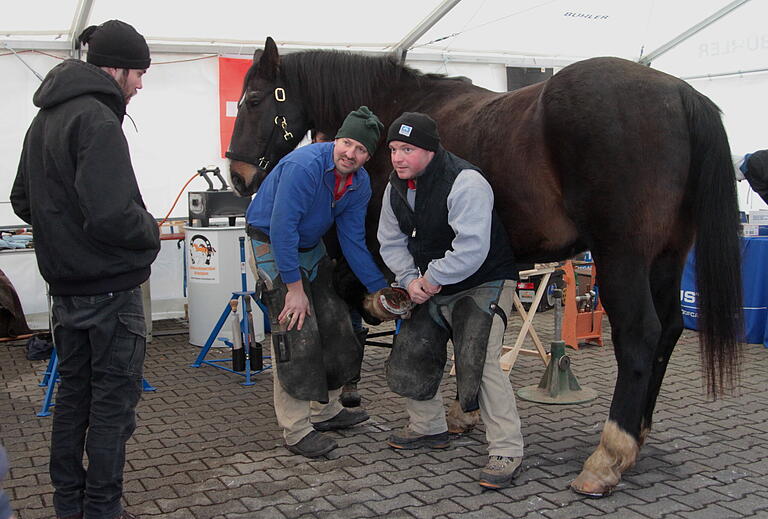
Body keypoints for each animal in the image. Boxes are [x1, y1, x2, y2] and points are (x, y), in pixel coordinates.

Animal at [225, 36, 740, 500]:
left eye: (254, 99)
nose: (238, 177)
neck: (396, 112)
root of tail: (680, 93)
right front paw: (460, 411)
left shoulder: (375, 250)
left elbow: (362, 303)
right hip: (666, 259)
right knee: (669, 329)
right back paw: (638, 436)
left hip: (623, 258)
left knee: (639, 337)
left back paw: (608, 456)